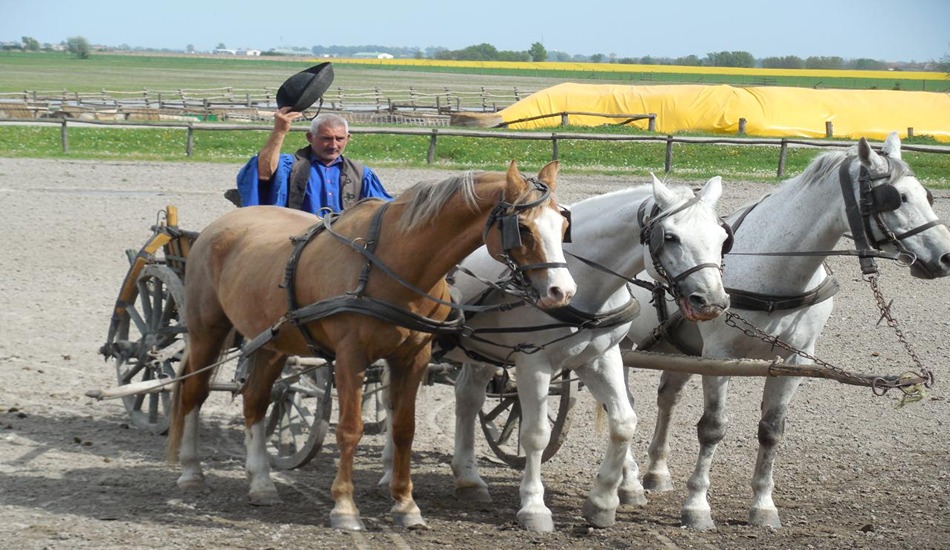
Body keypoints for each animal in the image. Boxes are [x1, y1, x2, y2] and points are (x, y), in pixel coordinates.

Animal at [166, 160, 577, 530]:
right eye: (522, 227)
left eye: (563, 225)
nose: (563, 291)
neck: (391, 263)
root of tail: (218, 227)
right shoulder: (351, 357)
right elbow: (350, 429)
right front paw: (345, 508)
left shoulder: (413, 358)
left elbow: (404, 428)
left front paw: (406, 506)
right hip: (207, 330)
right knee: (194, 392)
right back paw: (190, 472)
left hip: (269, 341)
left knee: (255, 400)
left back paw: (262, 483)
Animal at [379, 174, 733, 532]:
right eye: (671, 237)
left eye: (722, 238)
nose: (712, 301)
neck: (584, 284)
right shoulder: (532, 362)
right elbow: (536, 434)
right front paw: (535, 508)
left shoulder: (601, 357)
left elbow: (624, 422)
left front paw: (602, 501)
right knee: (390, 396)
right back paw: (389, 470)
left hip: (481, 352)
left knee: (467, 399)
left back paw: (469, 479)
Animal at [624, 132, 950, 530]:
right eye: (895, 197)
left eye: (927, 195)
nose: (945, 257)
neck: (774, 270)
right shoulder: (719, 357)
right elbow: (713, 427)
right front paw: (697, 505)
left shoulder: (793, 359)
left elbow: (771, 430)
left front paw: (763, 505)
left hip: (678, 348)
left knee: (667, 398)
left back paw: (656, 472)